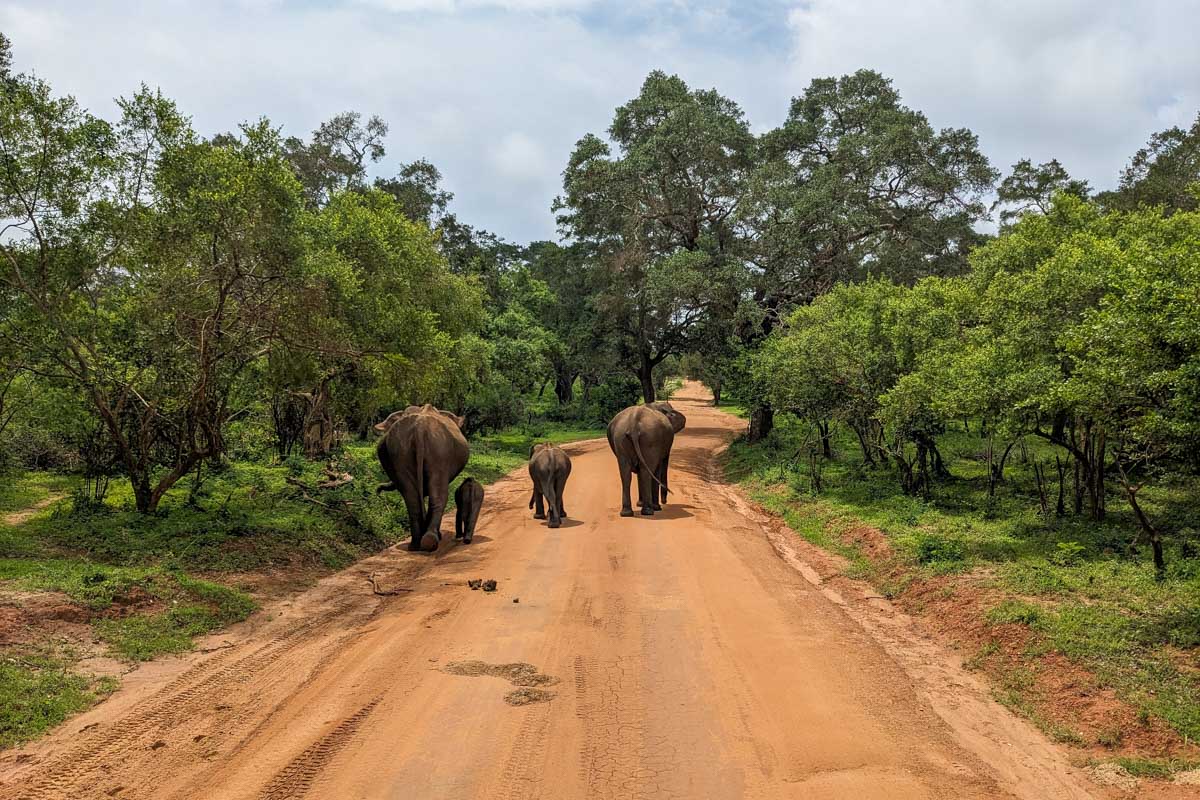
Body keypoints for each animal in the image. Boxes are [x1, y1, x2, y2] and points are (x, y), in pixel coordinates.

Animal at [375, 404, 469, 552]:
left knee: (412, 499)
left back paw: (416, 544)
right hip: (439, 452)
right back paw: (429, 542)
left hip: (403, 453)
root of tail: (419, 427)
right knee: (438, 496)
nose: (378, 492)